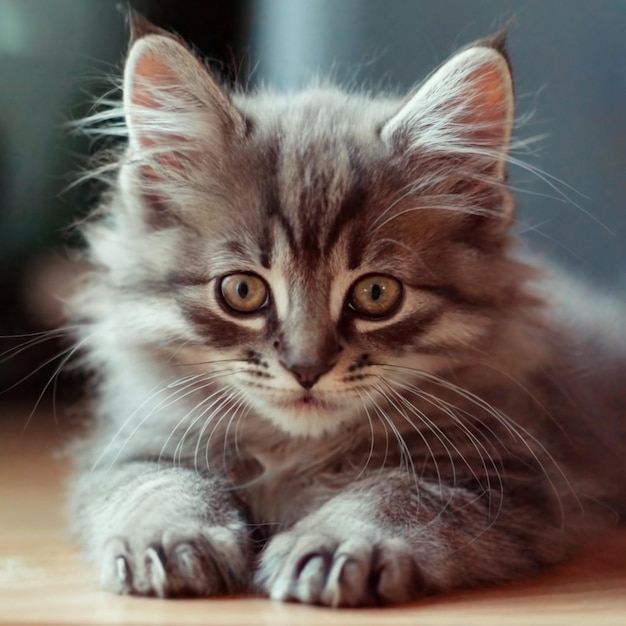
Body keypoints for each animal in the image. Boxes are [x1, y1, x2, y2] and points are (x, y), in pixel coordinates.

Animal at [66, 17, 620, 604]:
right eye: (242, 291)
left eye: (376, 295)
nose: (306, 368)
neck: (293, 448)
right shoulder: (132, 446)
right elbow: (158, 484)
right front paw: (168, 536)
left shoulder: (513, 478)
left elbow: (394, 493)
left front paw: (335, 545)